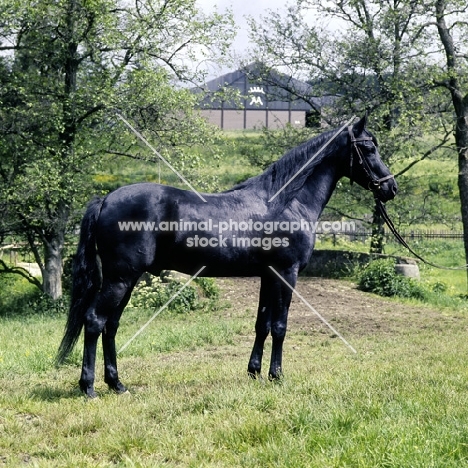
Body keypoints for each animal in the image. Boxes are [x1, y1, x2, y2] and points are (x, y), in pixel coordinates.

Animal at [57, 115, 394, 396]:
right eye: (369, 147)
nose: (391, 187)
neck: (287, 202)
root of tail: (105, 199)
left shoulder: (267, 275)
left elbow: (263, 324)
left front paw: (254, 372)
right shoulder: (287, 272)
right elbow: (280, 326)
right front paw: (277, 375)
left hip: (126, 280)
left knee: (110, 326)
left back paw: (117, 384)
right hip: (120, 278)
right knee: (95, 321)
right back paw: (89, 387)